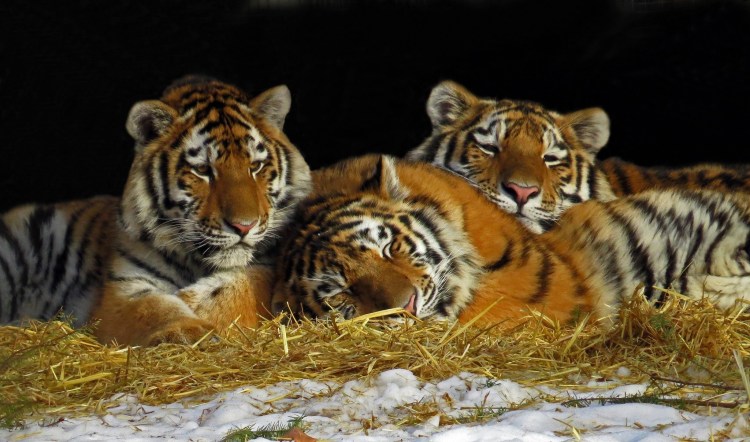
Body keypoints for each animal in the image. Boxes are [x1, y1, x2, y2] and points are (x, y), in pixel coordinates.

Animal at [0, 76, 312, 346]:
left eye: (255, 166)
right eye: (202, 170)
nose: (244, 226)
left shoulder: (270, 265)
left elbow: (241, 288)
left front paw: (195, 302)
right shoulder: (125, 287)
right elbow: (155, 310)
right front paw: (190, 331)